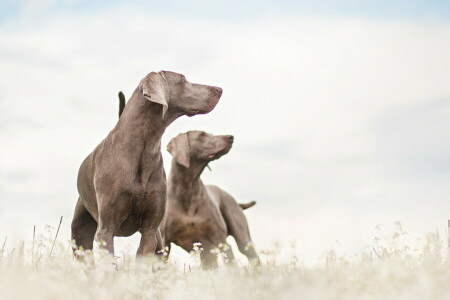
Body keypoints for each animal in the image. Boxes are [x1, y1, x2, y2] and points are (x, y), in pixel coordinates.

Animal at [71, 71, 223, 256]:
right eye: (183, 79)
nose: (219, 89)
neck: (146, 144)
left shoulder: (150, 230)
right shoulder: (106, 229)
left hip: (159, 241)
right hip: (80, 233)